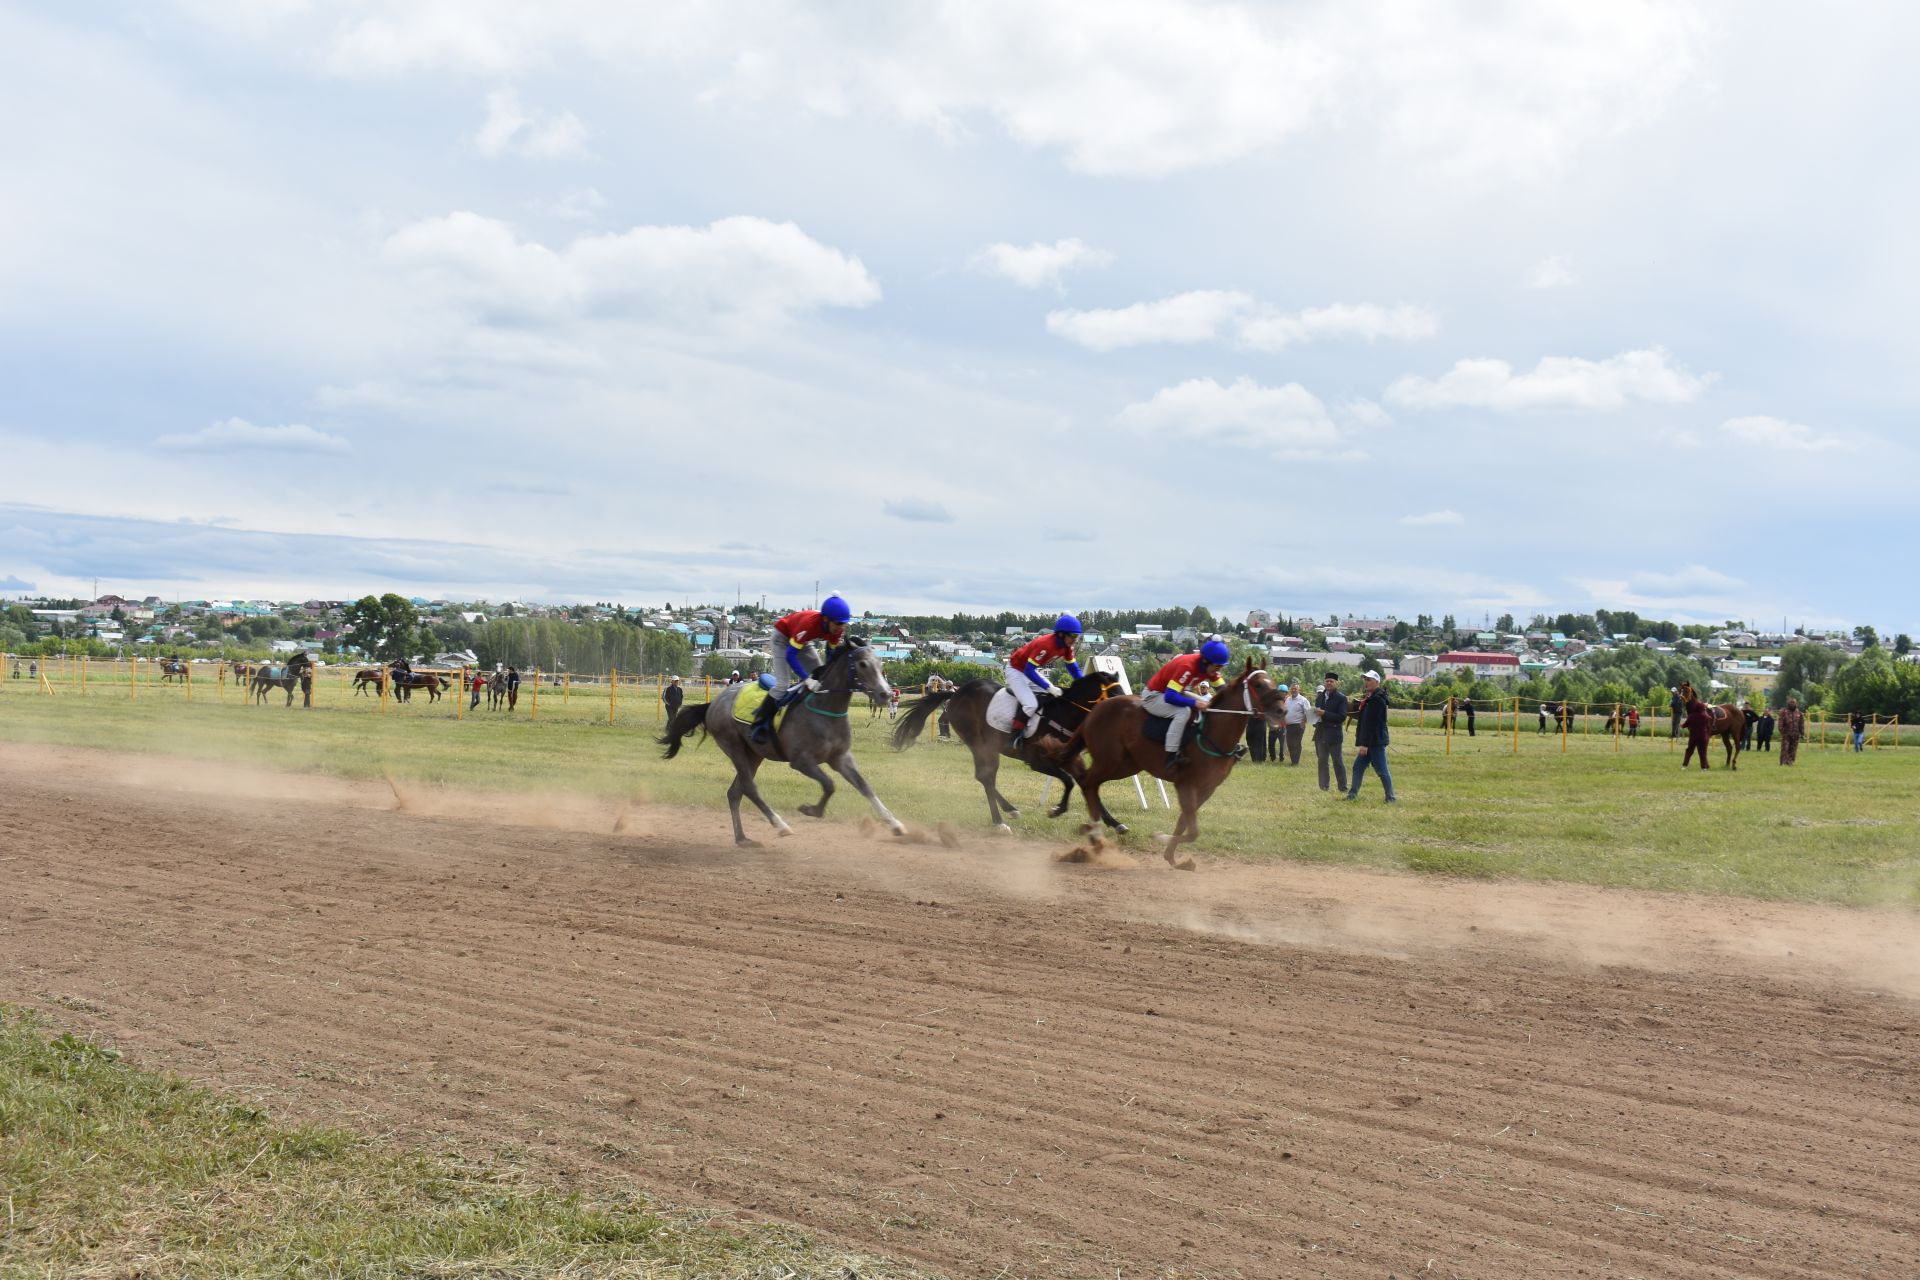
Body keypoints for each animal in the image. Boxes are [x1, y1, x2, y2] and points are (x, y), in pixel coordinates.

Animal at [656, 640, 902, 852]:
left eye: (881, 664)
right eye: (862, 664)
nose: (886, 694)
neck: (825, 709)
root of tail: (714, 702)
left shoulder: (841, 758)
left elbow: (864, 786)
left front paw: (895, 824)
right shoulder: (801, 761)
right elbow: (829, 784)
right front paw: (811, 809)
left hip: (754, 754)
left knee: (735, 792)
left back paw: (743, 838)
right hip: (733, 745)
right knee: (749, 788)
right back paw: (780, 825)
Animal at [887, 671, 1121, 840]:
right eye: (1114, 694)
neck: (1063, 715)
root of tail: (955, 694)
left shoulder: (1071, 759)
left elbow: (1085, 783)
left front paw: (1115, 823)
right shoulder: (1036, 761)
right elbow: (1069, 781)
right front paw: (1057, 809)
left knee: (986, 778)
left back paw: (1009, 811)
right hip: (981, 744)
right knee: (985, 777)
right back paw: (1001, 821)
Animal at [1059, 660, 1282, 871]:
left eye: (1272, 681)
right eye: (1258, 684)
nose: (1281, 710)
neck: (1212, 732)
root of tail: (1096, 710)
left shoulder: (1207, 788)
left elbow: (1184, 823)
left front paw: (1172, 858)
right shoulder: (1186, 784)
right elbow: (1192, 831)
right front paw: (1159, 837)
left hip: (1126, 765)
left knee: (1089, 783)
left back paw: (1096, 833)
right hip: (1110, 761)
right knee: (1088, 783)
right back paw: (1096, 836)